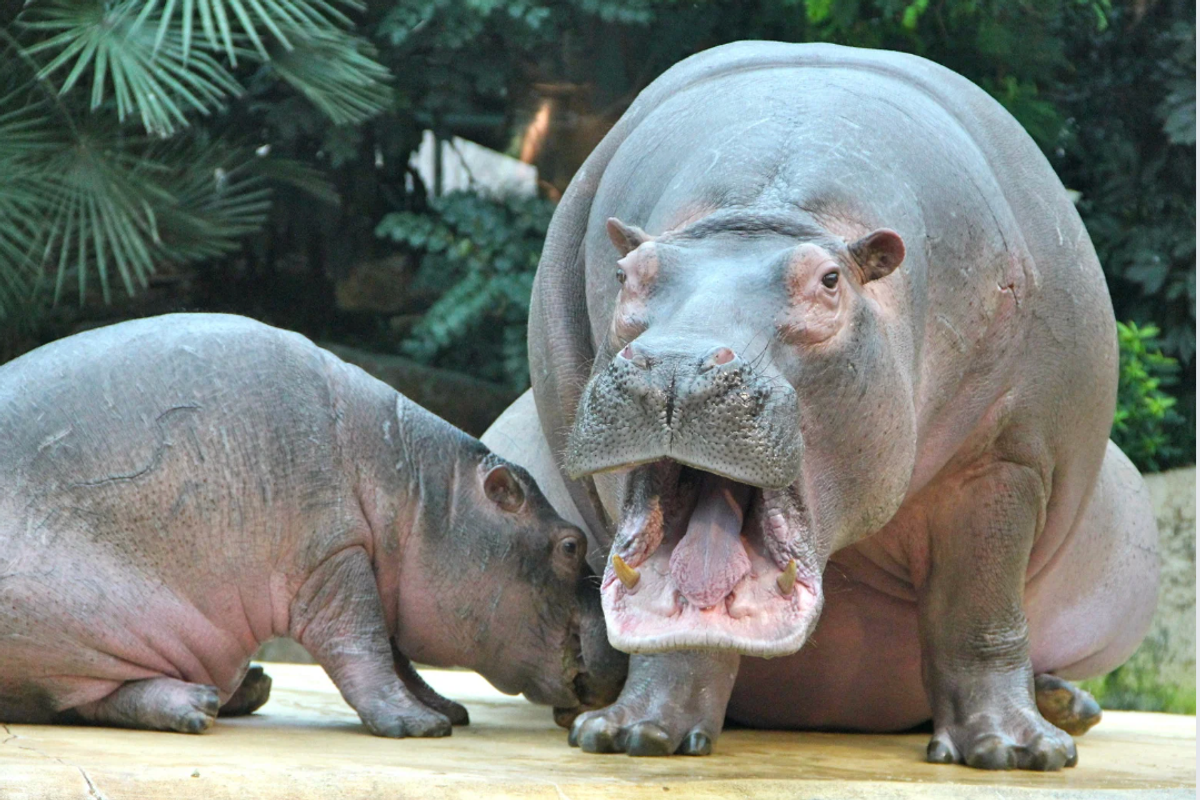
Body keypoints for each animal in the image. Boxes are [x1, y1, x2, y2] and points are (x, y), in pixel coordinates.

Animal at [0, 313, 622, 736]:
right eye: (571, 545)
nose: (620, 649)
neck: (423, 492)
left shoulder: (375, 569)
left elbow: (397, 656)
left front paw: (443, 709)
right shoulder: (333, 559)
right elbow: (363, 644)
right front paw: (417, 726)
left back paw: (244, 688)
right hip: (76, 614)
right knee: (83, 699)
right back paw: (198, 706)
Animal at [482, 41, 1159, 769]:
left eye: (829, 281)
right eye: (628, 274)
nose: (677, 365)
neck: (766, 210)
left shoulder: (1007, 459)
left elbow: (978, 610)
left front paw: (1013, 751)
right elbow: (676, 635)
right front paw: (632, 734)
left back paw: (1066, 709)